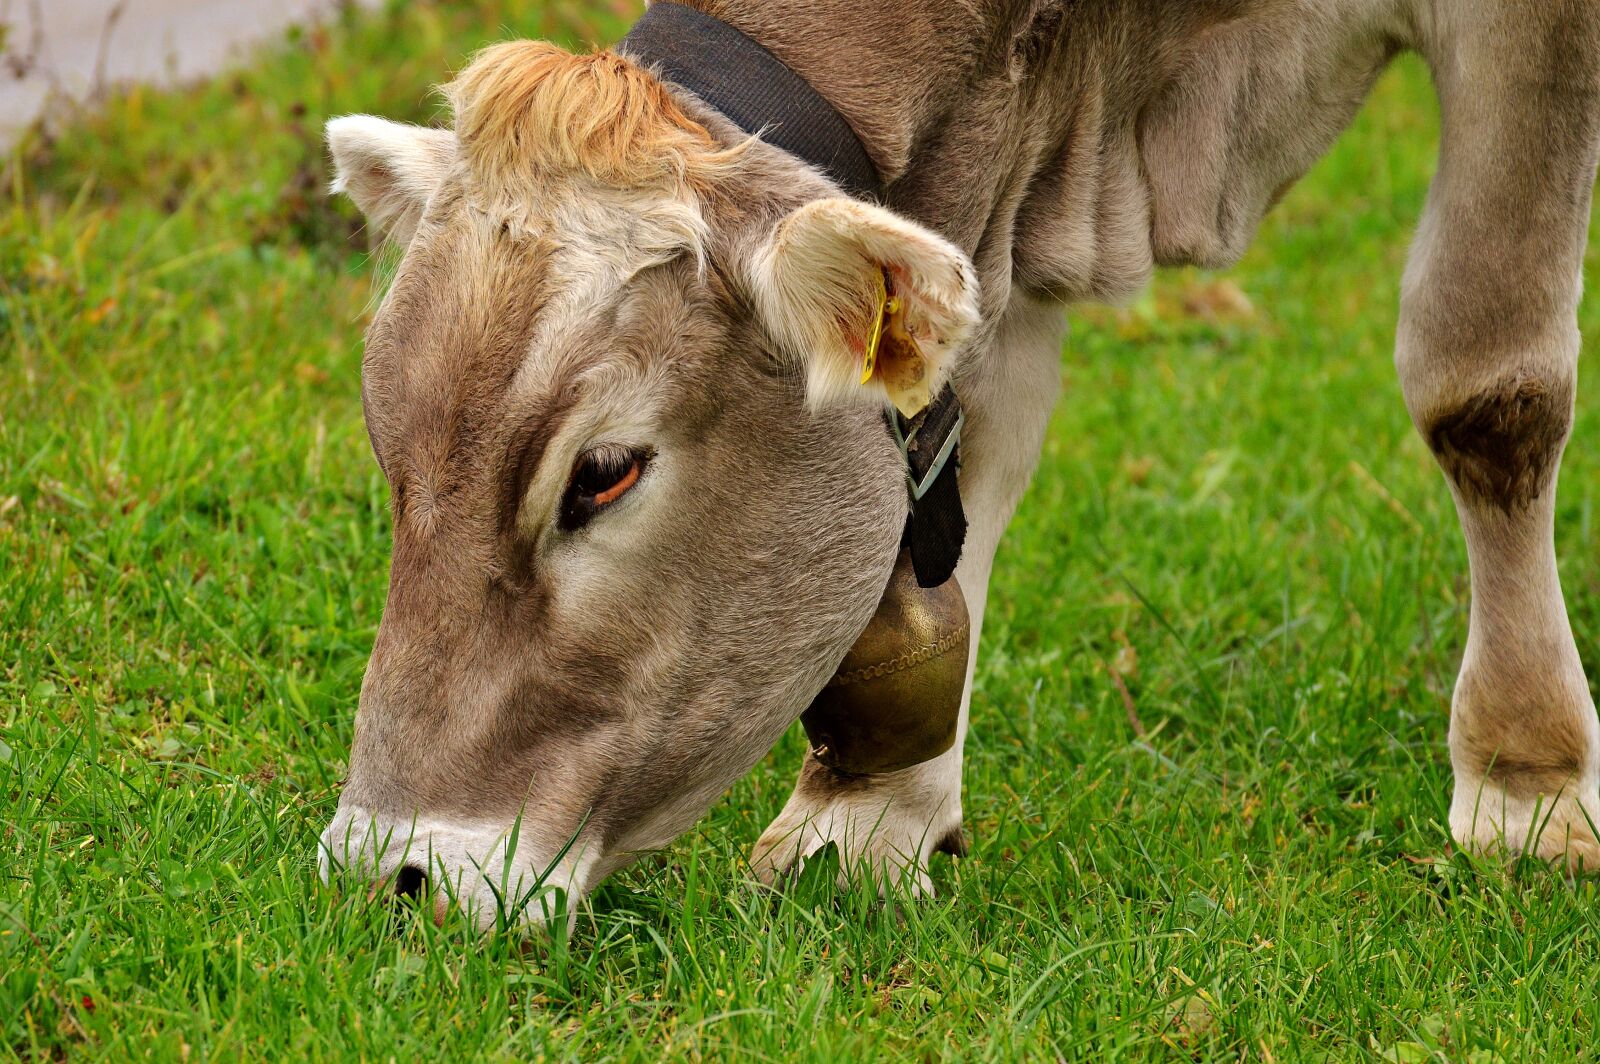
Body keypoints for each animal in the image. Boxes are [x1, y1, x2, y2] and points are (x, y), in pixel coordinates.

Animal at [318, 0, 1600, 929]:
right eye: (389, 449)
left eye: (604, 473)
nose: (391, 874)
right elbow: (969, 435)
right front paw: (870, 820)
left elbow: (1484, 381)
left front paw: (1526, 782)